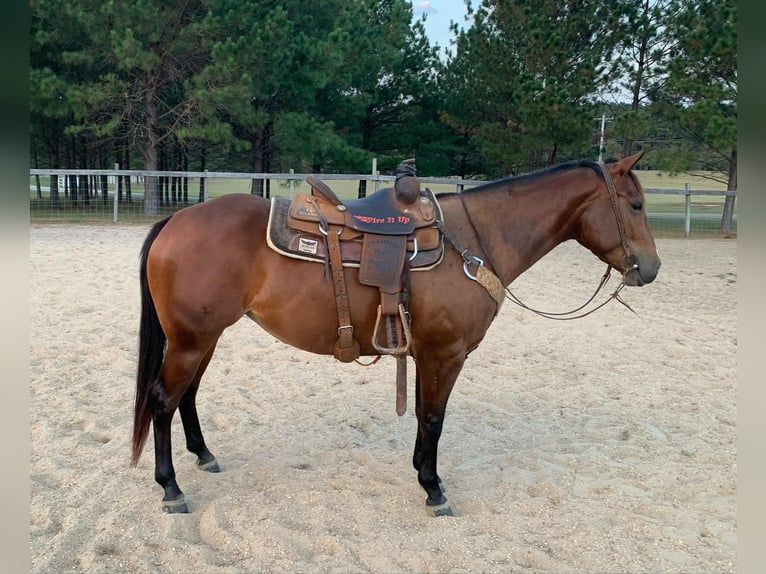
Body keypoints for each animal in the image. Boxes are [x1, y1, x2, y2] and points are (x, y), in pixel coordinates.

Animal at [131, 152, 660, 516]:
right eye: (635, 204)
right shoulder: (447, 354)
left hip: (205, 338)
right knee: (162, 400)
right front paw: (434, 488)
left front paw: (422, 474)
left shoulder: (427, 353)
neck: (473, 241)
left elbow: (426, 415)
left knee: (186, 396)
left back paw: (204, 455)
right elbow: (434, 418)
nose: (651, 268)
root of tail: (174, 220)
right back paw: (171, 488)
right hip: (191, 340)